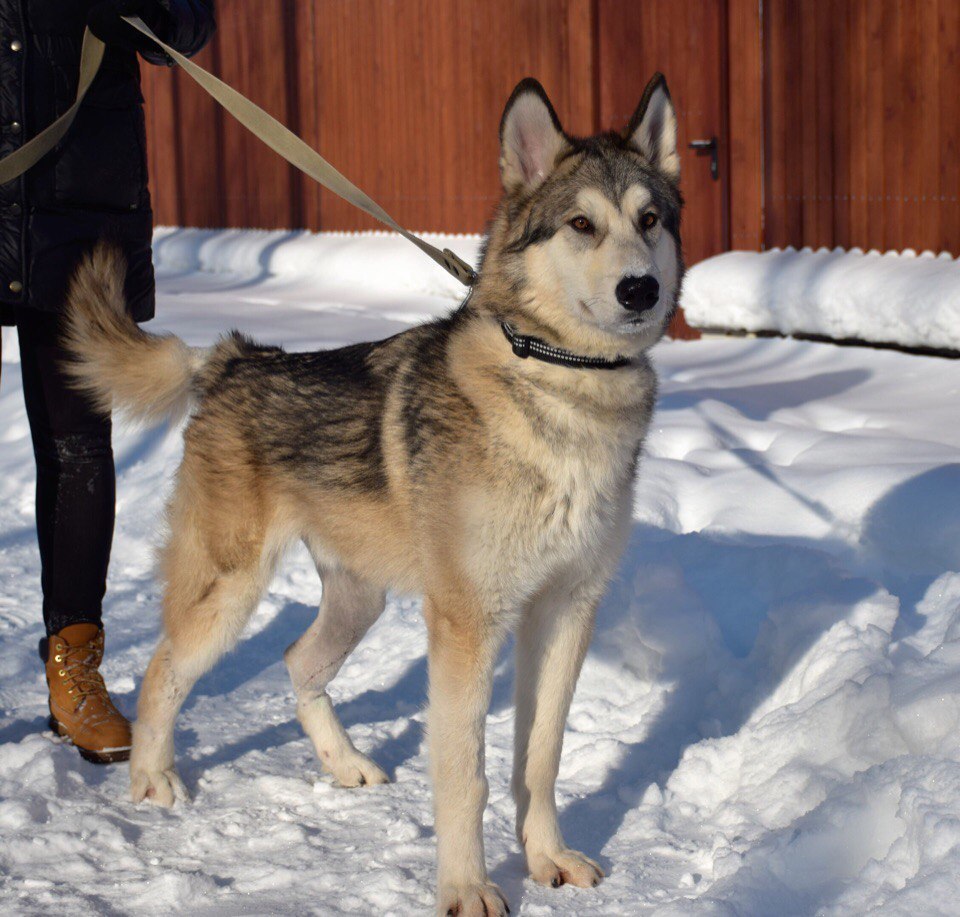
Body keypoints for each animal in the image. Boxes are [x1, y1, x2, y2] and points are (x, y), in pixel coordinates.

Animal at [63, 73, 684, 916]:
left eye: (649, 220)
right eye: (582, 224)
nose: (640, 288)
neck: (559, 383)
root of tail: (229, 359)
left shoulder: (565, 611)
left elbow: (540, 758)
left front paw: (547, 858)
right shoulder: (466, 625)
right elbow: (466, 774)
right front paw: (467, 886)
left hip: (359, 598)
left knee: (297, 661)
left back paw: (344, 763)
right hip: (229, 590)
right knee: (162, 672)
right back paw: (153, 780)